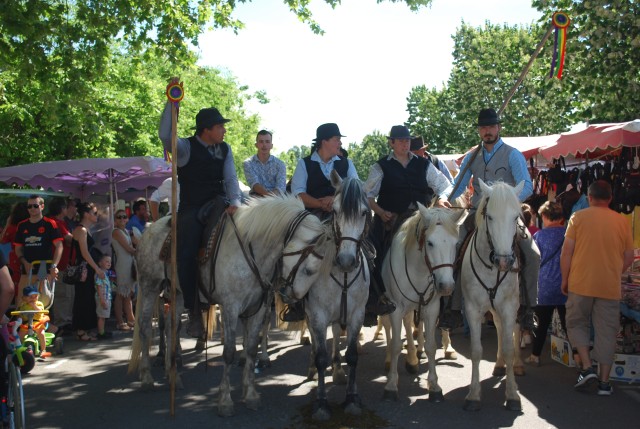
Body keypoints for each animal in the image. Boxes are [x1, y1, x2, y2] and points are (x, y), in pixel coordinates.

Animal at [278, 172, 370, 420]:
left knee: (337, 333)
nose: (347, 260)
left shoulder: (356, 314)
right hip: (312, 314)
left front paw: (352, 399)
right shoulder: (318, 314)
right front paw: (321, 403)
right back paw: (312, 368)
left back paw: (337, 370)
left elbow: (352, 356)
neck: (343, 275)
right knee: (314, 339)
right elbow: (321, 357)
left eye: (364, 212)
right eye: (335, 211)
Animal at [380, 204, 464, 402]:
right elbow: (395, 344)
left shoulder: (431, 308)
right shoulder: (395, 308)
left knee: (409, 323)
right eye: (430, 243)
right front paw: (391, 386)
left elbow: (431, 346)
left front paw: (434, 386)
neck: (418, 268)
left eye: (455, 244)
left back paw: (412, 359)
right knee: (388, 328)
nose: (446, 286)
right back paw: (390, 360)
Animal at [462, 178, 528, 412]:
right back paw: (499, 365)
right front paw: (473, 395)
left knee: (514, 331)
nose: (504, 261)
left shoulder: (509, 307)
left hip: (514, 307)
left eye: (516, 217)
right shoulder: (473, 309)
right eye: (489, 216)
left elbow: (509, 347)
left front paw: (513, 396)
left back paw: (517, 366)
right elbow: (476, 350)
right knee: (499, 328)